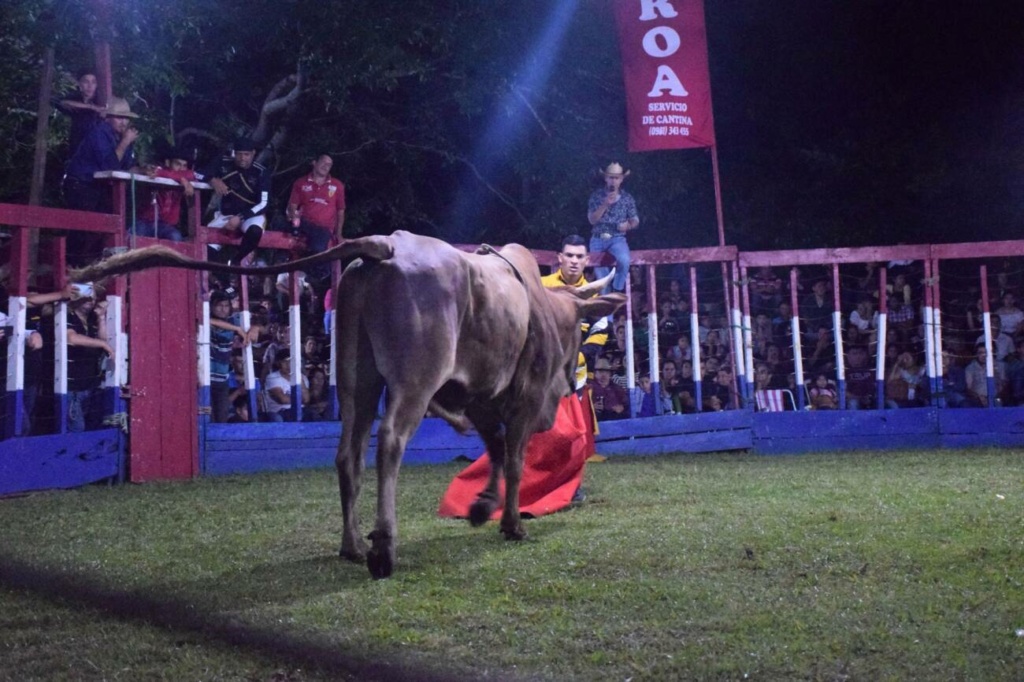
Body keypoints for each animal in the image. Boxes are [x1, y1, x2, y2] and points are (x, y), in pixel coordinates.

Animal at [74, 231, 622, 577]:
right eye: (579, 333)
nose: (569, 386)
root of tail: (385, 245)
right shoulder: (519, 400)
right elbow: (513, 456)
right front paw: (509, 522)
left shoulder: (479, 397)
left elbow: (493, 447)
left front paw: (481, 506)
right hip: (413, 382)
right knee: (389, 444)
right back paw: (383, 548)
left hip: (357, 380)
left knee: (348, 455)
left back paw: (353, 545)